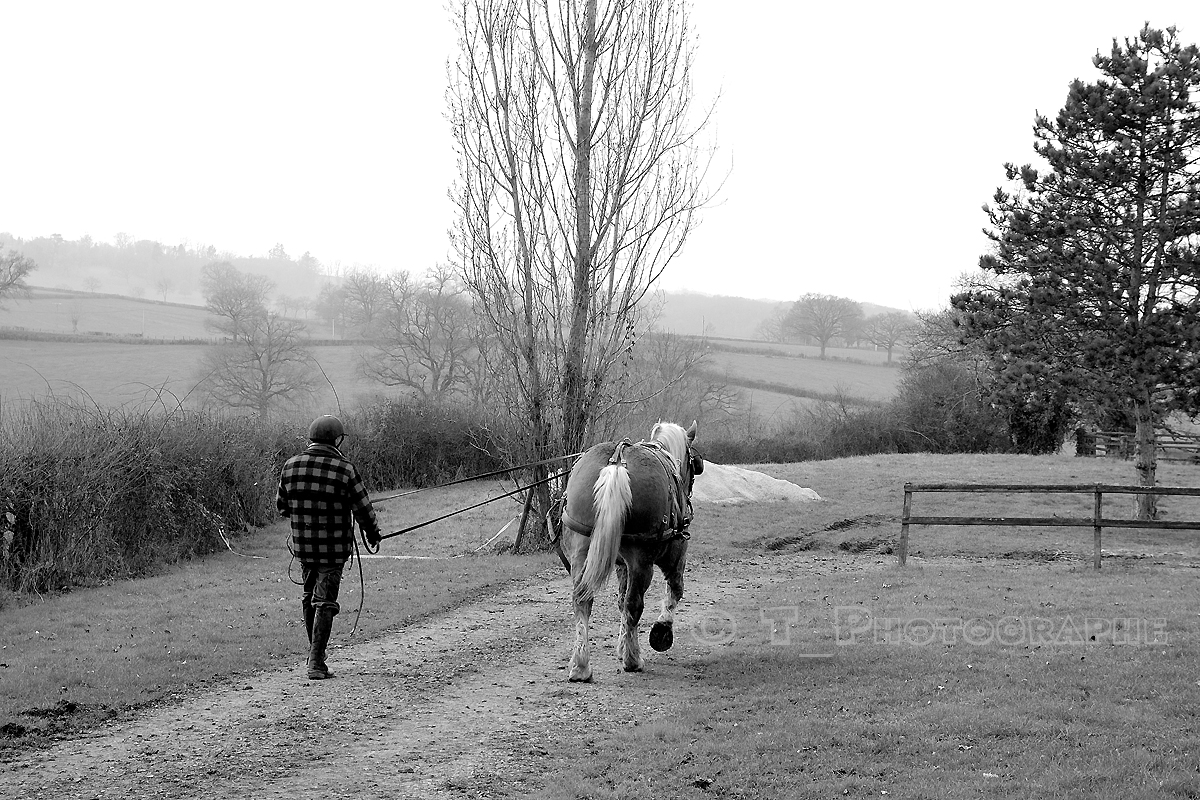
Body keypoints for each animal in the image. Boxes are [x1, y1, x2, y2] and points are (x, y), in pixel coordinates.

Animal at [559, 420, 704, 682]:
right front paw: (660, 633)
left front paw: (622, 643)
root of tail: (617, 461)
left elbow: (619, 602)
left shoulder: (621, 564)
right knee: (635, 603)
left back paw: (581, 666)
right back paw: (633, 660)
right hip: (641, 559)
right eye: (694, 464)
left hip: (581, 551)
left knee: (582, 600)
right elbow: (675, 590)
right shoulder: (675, 554)